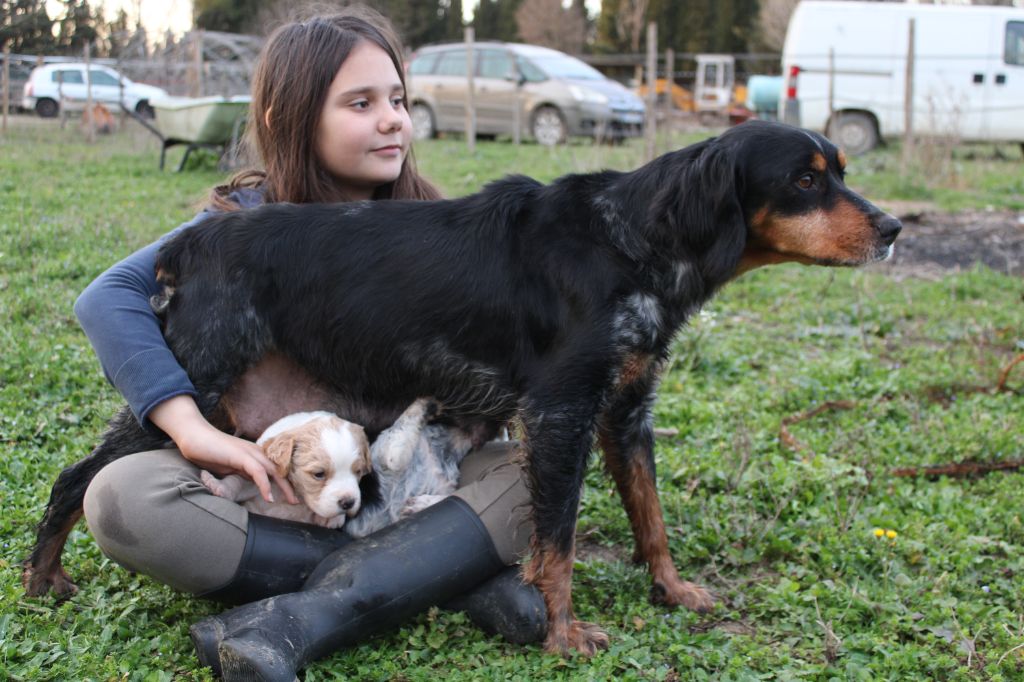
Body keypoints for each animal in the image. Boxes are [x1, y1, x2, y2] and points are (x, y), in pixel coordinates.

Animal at [199, 405, 372, 528]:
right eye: (319, 474)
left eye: (358, 471)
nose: (348, 502)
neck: (297, 493)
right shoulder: (263, 472)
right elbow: (238, 481)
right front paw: (218, 486)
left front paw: (334, 517)